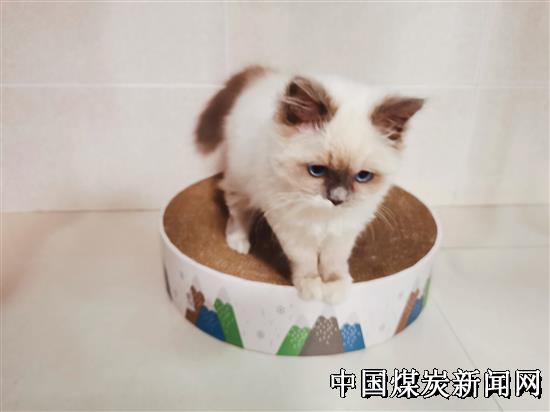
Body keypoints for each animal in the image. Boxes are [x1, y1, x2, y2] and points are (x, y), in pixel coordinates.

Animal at [195, 66, 424, 304]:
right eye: (317, 171)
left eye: (362, 176)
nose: (337, 199)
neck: (325, 216)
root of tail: (264, 74)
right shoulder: (292, 227)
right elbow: (305, 261)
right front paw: (311, 287)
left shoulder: (344, 231)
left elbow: (334, 261)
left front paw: (334, 288)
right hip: (241, 180)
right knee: (237, 211)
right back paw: (238, 243)